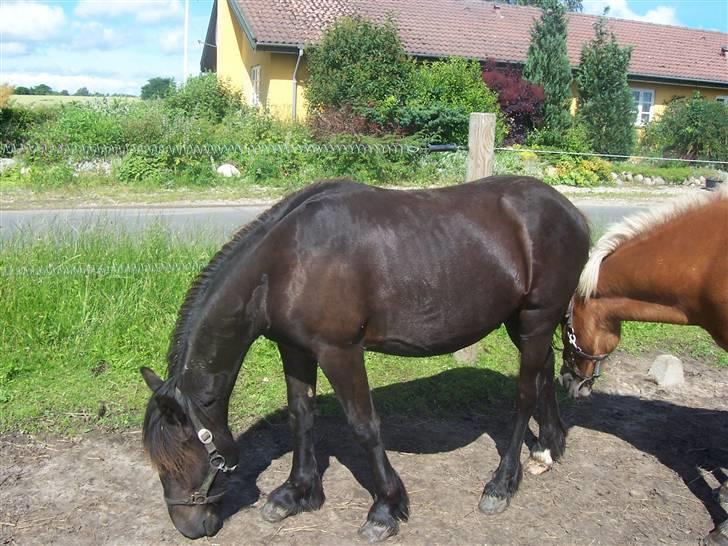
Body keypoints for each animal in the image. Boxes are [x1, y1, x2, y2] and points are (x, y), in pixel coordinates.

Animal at [140, 176, 590, 542]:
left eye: (182, 459)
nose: (189, 527)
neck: (285, 263)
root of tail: (571, 212)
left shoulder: (339, 353)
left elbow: (364, 426)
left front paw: (385, 509)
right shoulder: (296, 349)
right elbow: (300, 417)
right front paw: (295, 494)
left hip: (535, 318)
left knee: (524, 395)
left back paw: (501, 484)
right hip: (523, 322)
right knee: (545, 371)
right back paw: (548, 448)